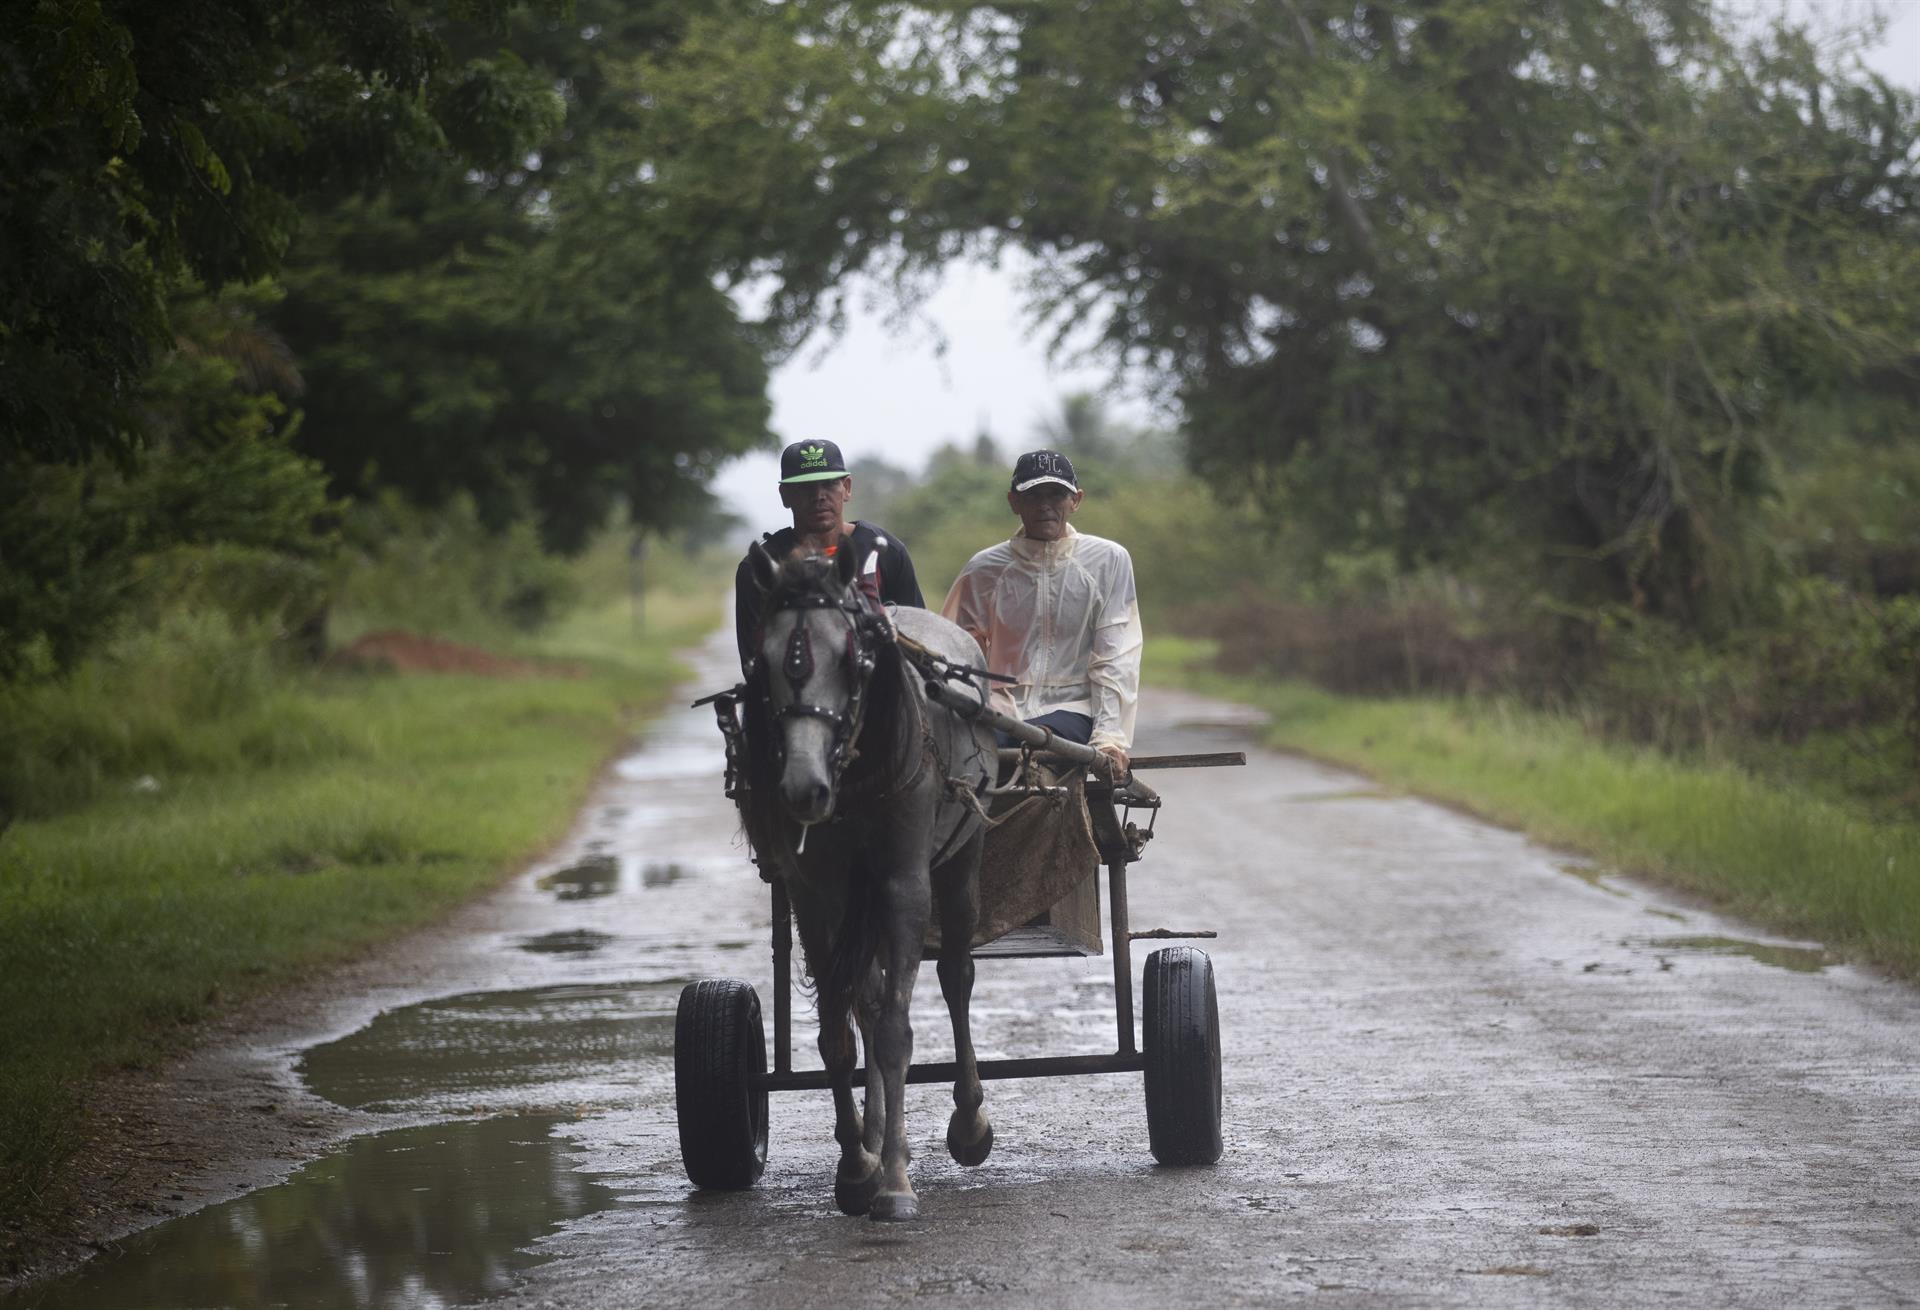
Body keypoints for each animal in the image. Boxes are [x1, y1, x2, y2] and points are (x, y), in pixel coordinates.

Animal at [737, 533, 998, 1221]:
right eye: (763, 660)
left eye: (853, 658)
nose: (803, 787)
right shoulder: (817, 892)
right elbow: (839, 1032)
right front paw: (859, 1165)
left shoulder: (903, 881)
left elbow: (894, 1034)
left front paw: (897, 1181)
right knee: (870, 994)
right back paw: (875, 1136)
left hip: (962, 859)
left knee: (955, 976)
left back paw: (968, 1122)